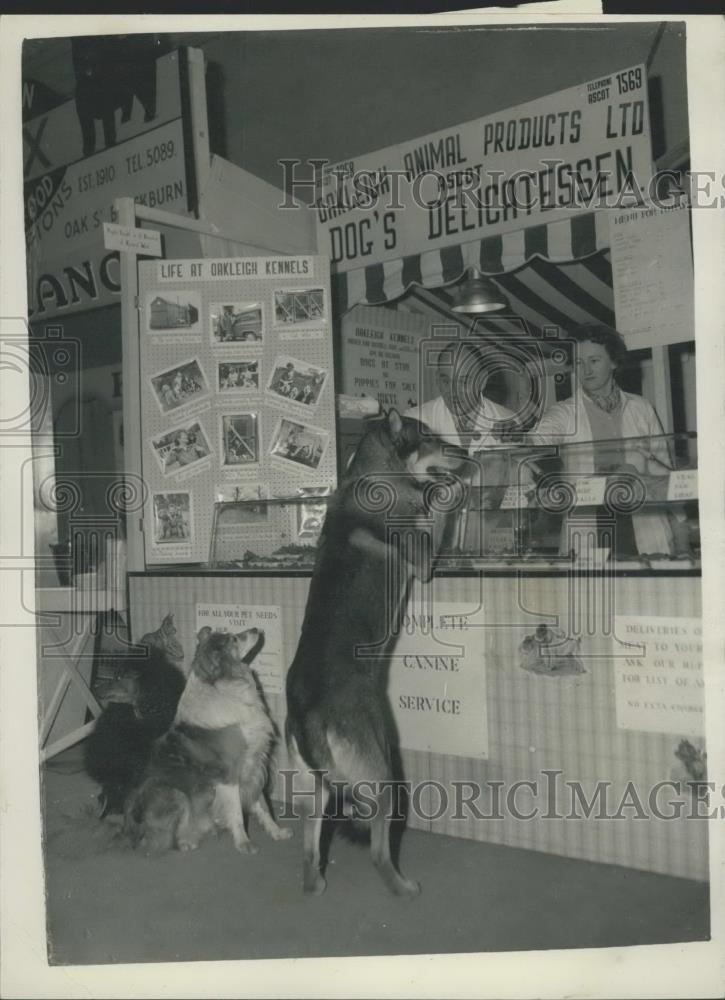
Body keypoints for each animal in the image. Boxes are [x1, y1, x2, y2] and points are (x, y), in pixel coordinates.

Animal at [124, 624, 292, 852]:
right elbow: (237, 814)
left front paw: (276, 832)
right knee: (161, 842)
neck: (224, 689)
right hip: (175, 794)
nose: (257, 629)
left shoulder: (253, 767)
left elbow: (263, 807)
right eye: (233, 639)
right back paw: (187, 841)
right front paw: (244, 843)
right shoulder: (229, 774)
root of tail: (130, 830)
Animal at [282, 410, 464, 896]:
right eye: (430, 437)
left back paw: (317, 885)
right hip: (383, 776)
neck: (371, 473)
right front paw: (454, 487)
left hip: (314, 789)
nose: (467, 453)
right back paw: (404, 889)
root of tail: (306, 711)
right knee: (381, 853)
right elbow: (438, 502)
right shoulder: (423, 561)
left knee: (309, 857)